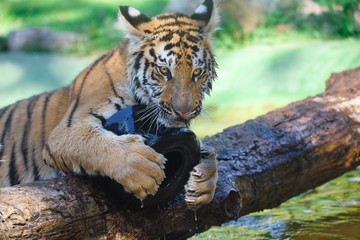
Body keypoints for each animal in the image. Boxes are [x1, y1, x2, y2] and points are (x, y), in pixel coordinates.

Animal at [0, 0, 218, 209]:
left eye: (197, 72)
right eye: (164, 71)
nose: (183, 112)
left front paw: (205, 180)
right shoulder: (66, 131)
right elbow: (95, 144)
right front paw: (140, 167)